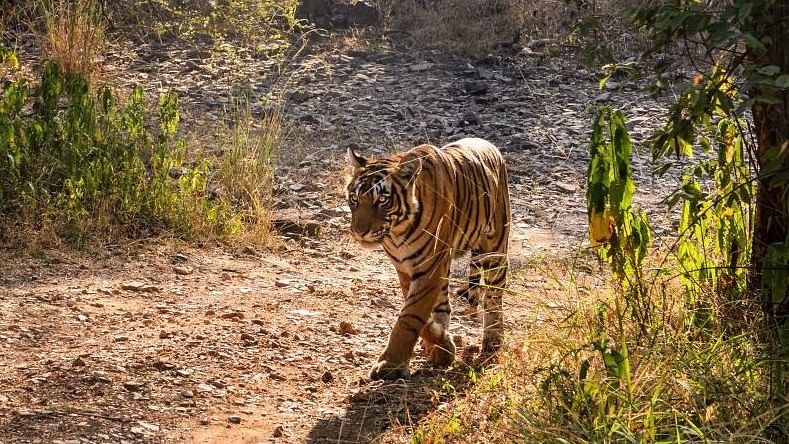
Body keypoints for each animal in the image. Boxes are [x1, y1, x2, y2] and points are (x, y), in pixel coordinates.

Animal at [346, 137, 510, 380]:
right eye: (354, 199)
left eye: (383, 200)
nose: (359, 232)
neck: (397, 233)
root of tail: (489, 145)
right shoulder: (405, 269)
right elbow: (417, 312)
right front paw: (442, 345)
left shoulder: (429, 267)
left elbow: (409, 316)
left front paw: (390, 364)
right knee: (444, 305)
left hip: (495, 249)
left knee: (493, 298)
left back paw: (492, 341)